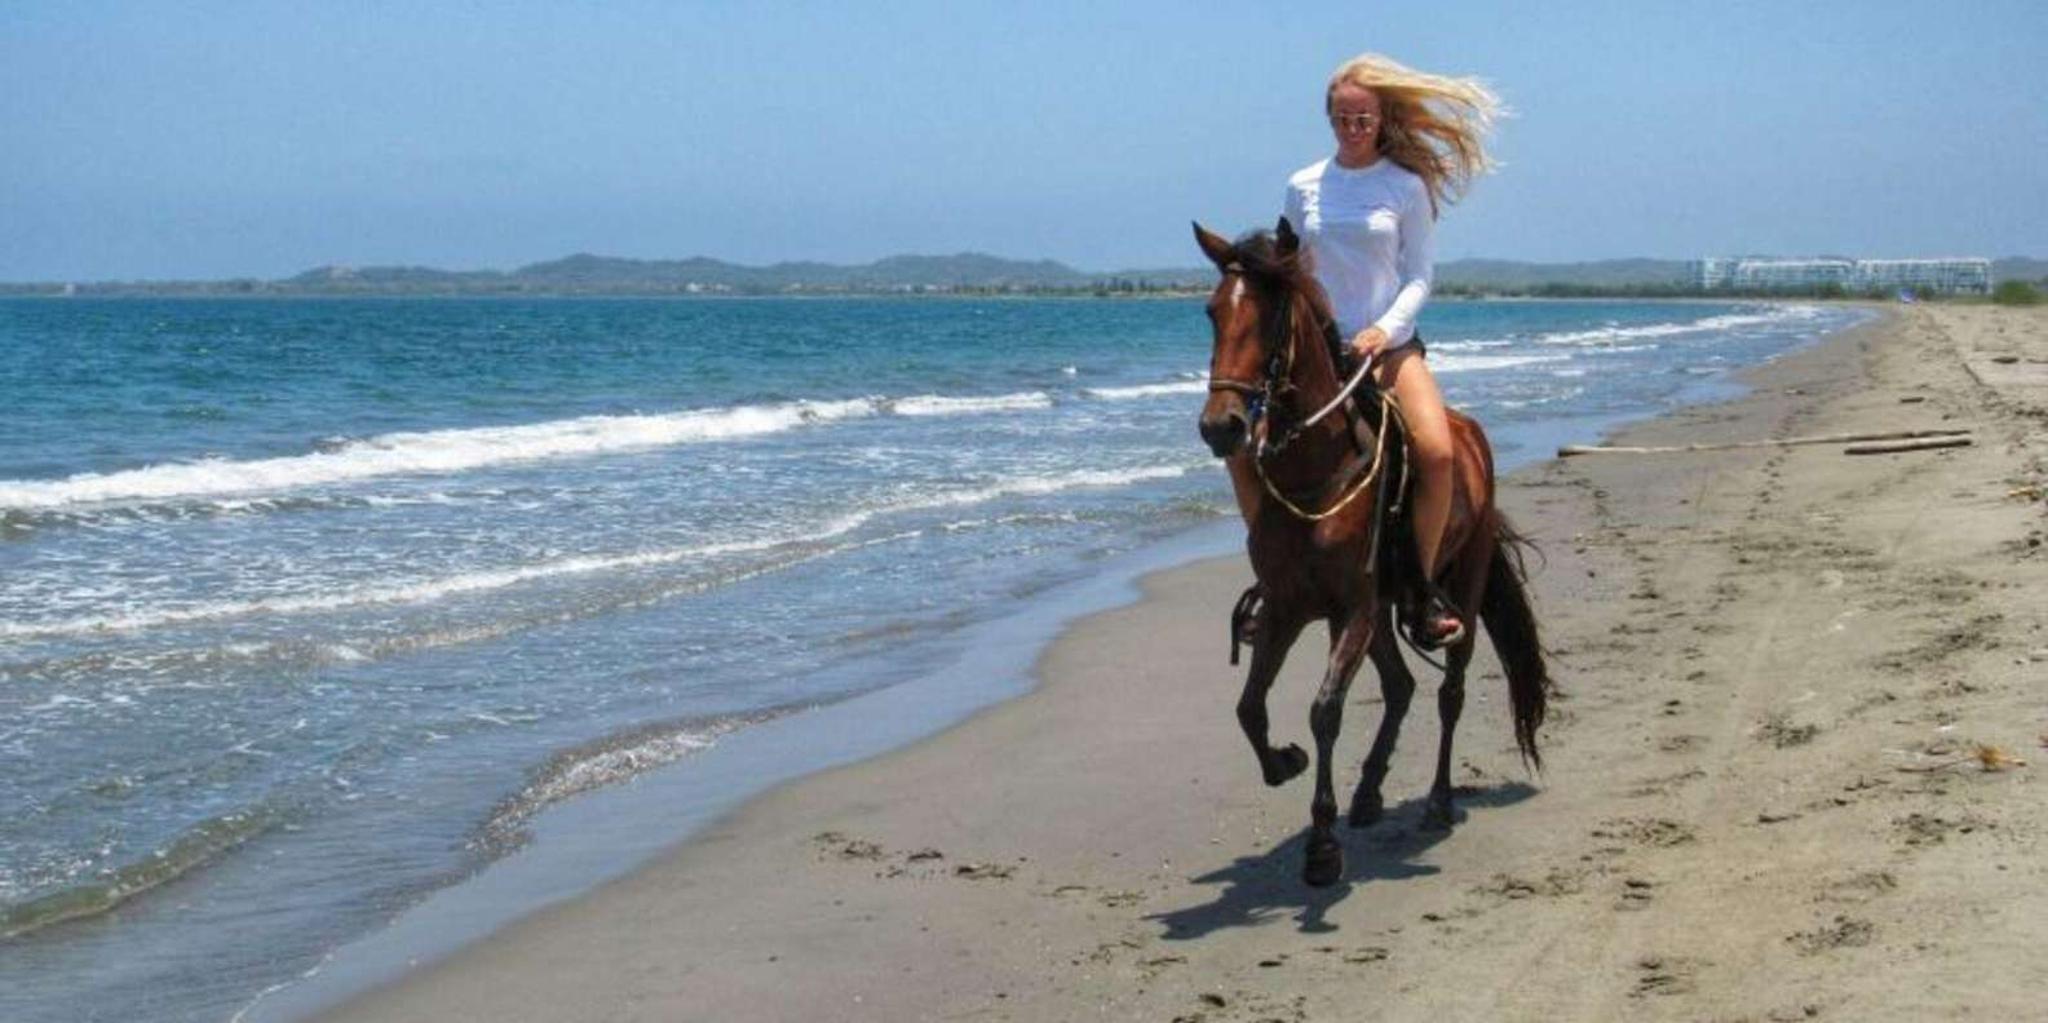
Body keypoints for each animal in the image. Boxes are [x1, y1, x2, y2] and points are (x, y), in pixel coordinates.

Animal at [1192, 218, 1552, 887]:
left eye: (1272, 316)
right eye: (1212, 312)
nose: (1220, 427)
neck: (1318, 472)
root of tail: (1471, 438)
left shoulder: (1352, 607)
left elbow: (1326, 710)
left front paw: (1321, 846)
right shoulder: (1288, 608)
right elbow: (1250, 708)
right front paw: (1285, 762)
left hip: (1459, 587)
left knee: (1448, 693)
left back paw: (1436, 803)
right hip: (1383, 611)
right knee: (1402, 685)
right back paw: (1368, 793)